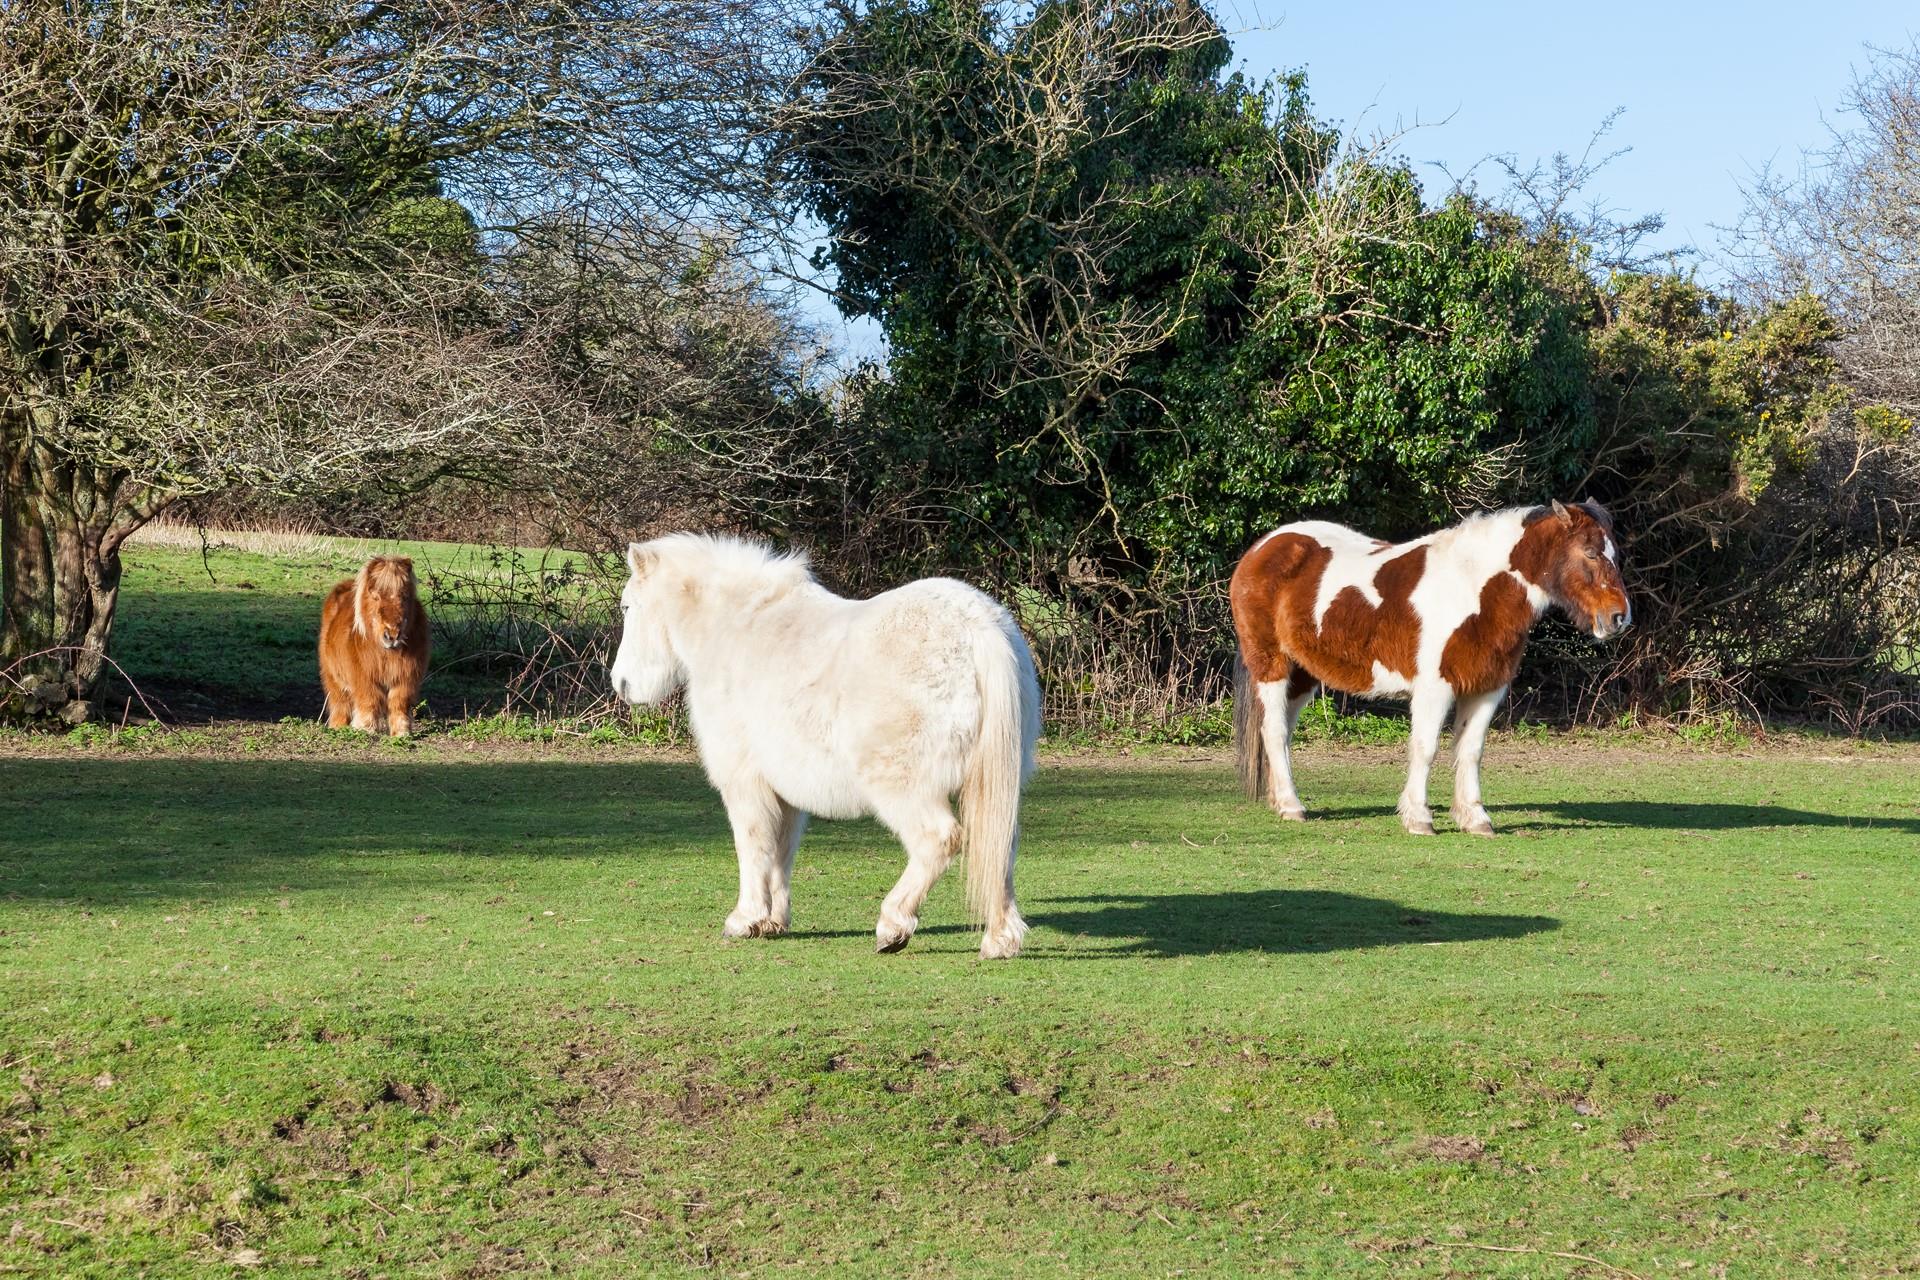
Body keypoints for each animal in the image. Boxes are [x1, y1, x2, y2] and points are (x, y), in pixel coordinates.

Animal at [319, 556, 431, 738]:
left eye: (404, 596)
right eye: (375, 596)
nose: (392, 635)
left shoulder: (405, 677)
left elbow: (399, 703)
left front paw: (402, 732)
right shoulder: (364, 676)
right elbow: (369, 700)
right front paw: (365, 728)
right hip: (333, 675)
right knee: (340, 702)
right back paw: (338, 727)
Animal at [609, 533, 1040, 959]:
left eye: (628, 607)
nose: (621, 684)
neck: (737, 629)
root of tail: (978, 626)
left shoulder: (743, 781)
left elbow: (753, 843)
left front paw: (744, 920)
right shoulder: (784, 791)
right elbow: (781, 851)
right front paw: (772, 921)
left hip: (902, 787)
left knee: (937, 841)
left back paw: (893, 926)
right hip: (996, 786)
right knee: (1000, 846)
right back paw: (1000, 940)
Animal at [1230, 500, 1630, 836]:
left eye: (1616, 554)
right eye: (1590, 552)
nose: (1618, 618)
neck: (1473, 590)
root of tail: (1263, 547)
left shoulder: (1486, 688)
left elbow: (1471, 750)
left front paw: (1475, 818)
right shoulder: (1435, 688)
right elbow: (1426, 747)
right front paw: (1419, 818)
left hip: (1302, 675)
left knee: (1281, 733)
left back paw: (1281, 800)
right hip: (1272, 667)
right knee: (1274, 731)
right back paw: (1292, 806)